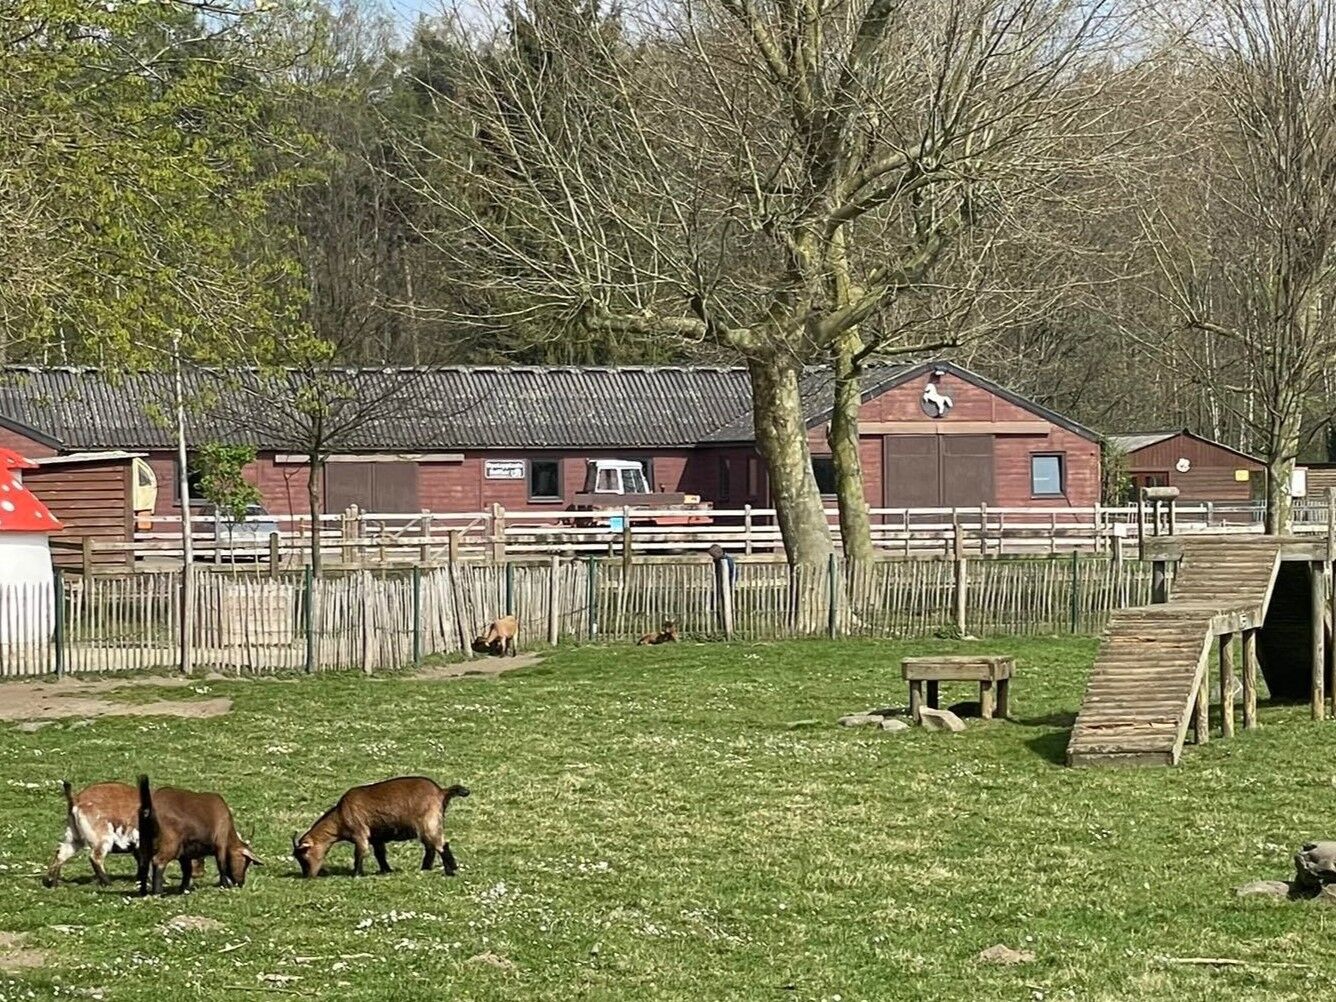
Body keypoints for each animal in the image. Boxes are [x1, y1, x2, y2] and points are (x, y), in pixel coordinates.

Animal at [43, 780, 204, 888]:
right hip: (102, 837)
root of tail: (76, 799)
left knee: (61, 853)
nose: (199, 873)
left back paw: (52, 882)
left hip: (74, 836)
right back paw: (107, 882)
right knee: (95, 857)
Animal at [292, 776, 470, 879]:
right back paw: (426, 868)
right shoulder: (376, 838)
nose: (308, 876)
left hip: (428, 822)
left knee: (440, 844)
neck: (340, 816)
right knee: (431, 847)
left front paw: (356, 874)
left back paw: (450, 871)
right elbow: (380, 854)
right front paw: (386, 870)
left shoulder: (359, 832)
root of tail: (441, 791)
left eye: (303, 855)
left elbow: (360, 853)